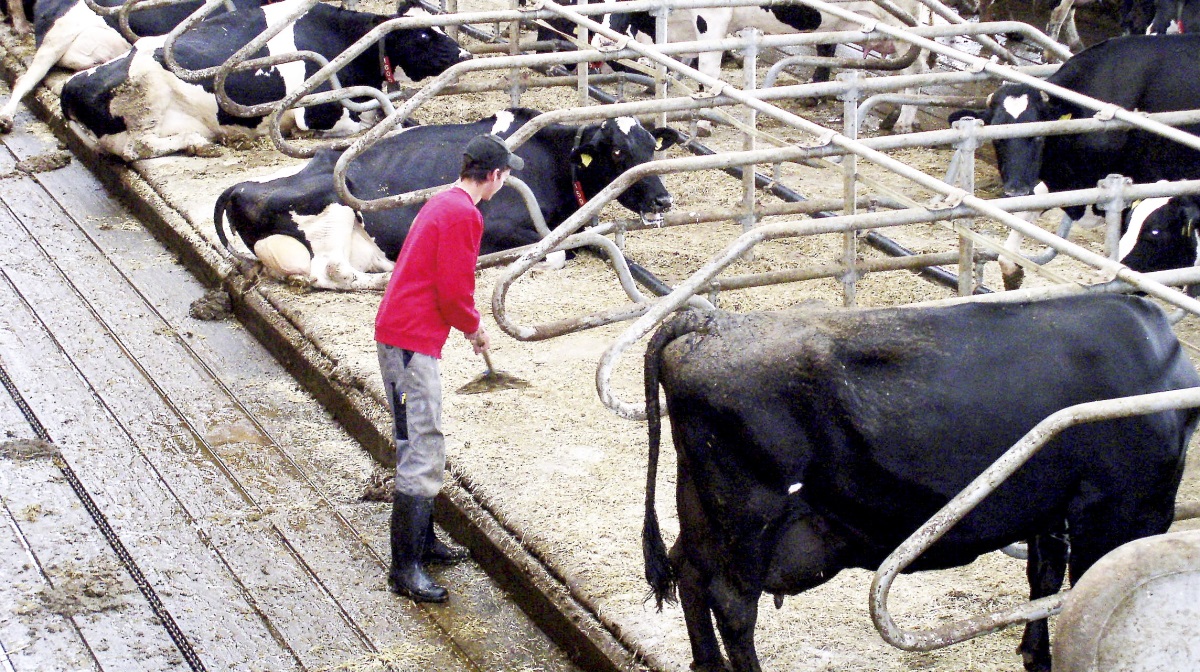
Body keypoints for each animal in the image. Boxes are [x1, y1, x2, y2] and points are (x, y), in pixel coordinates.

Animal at [59, 0, 468, 159]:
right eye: (423, 35)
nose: (465, 55)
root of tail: (71, 87)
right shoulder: (314, 114)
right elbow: (372, 121)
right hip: (142, 101)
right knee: (137, 147)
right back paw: (198, 144)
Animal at [216, 106, 686, 289]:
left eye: (651, 148)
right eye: (619, 153)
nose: (663, 201)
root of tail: (243, 186)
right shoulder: (499, 225)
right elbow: (554, 254)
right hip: (331, 211)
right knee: (331, 273)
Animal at [648, 295, 1200, 672]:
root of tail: (710, 323)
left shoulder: (1054, 507)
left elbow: (1043, 577)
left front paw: (1034, 655)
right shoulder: (1124, 509)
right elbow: (1078, 589)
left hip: (704, 508)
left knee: (688, 571)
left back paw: (708, 663)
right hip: (750, 515)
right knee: (733, 604)